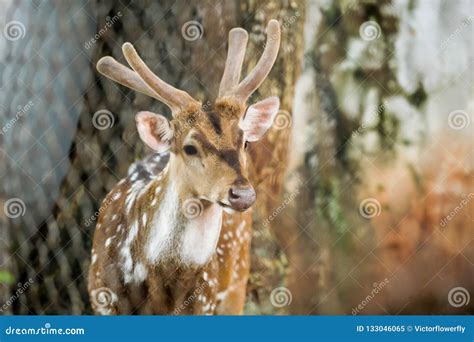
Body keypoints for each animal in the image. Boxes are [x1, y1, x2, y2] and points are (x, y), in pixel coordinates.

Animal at [88, 18, 282, 312]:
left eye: (246, 142)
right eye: (189, 147)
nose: (242, 194)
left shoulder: (206, 298)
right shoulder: (99, 295)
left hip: (237, 279)